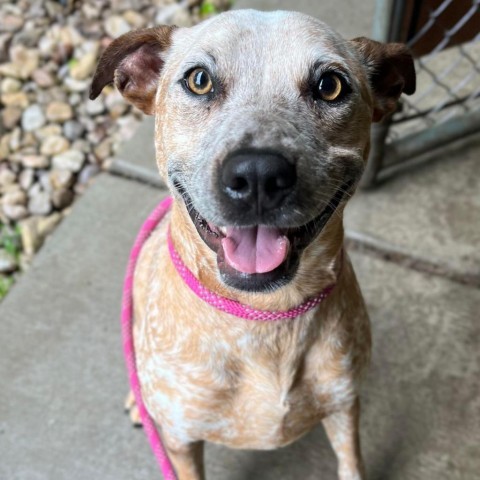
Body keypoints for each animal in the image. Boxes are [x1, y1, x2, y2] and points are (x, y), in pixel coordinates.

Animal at [92, 8, 414, 480]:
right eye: (199, 80)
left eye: (330, 85)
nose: (258, 175)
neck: (266, 318)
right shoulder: (181, 441)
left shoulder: (345, 407)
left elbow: (352, 463)